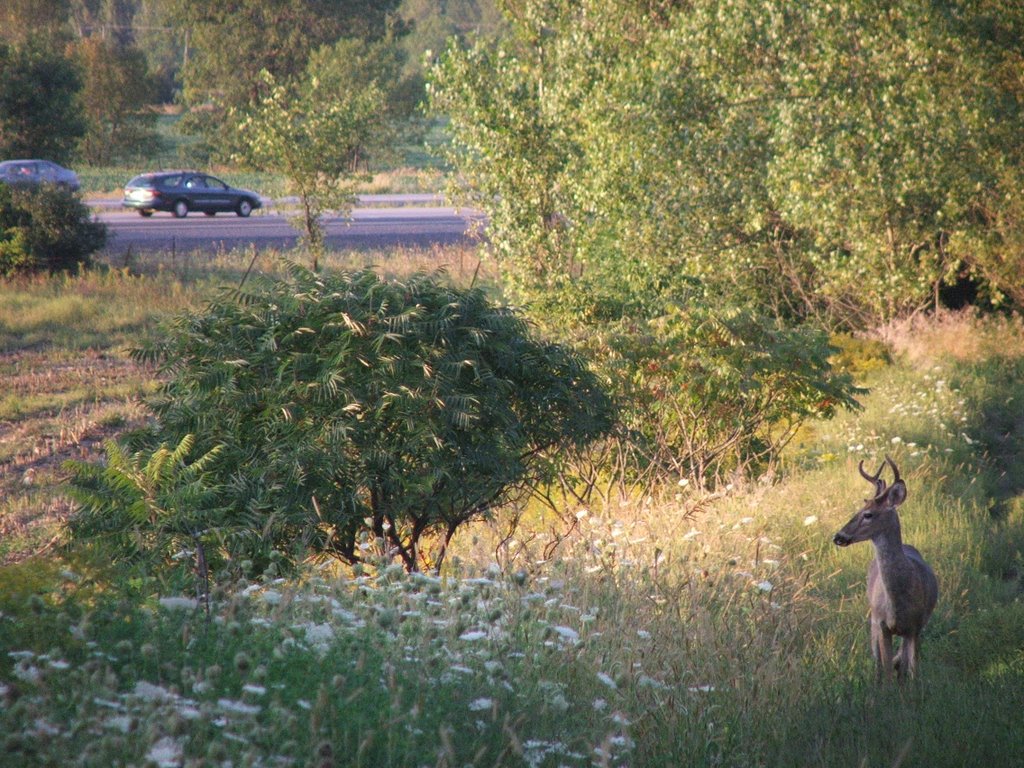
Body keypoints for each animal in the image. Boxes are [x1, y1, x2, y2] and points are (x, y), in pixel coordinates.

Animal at [831, 454, 937, 684]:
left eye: (868, 515)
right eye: (858, 511)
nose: (838, 536)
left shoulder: (916, 626)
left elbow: (913, 671)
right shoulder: (881, 624)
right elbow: (886, 670)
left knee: (902, 662)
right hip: (872, 621)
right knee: (878, 663)